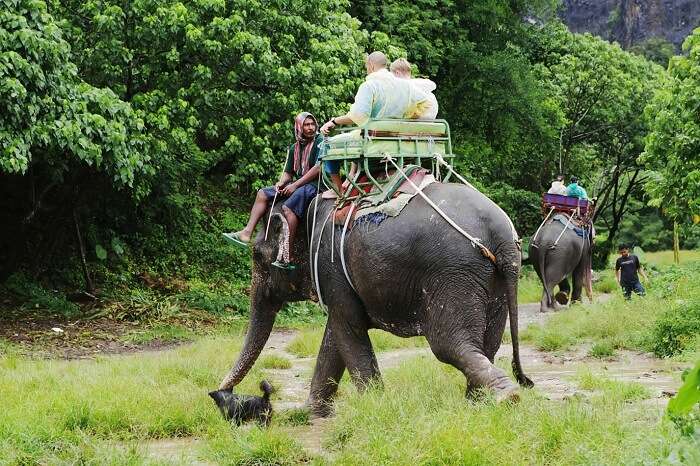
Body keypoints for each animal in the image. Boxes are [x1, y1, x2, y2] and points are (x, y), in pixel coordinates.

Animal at [221, 182, 532, 416]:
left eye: (257, 255)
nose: (225, 392)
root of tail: (503, 236)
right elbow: (336, 336)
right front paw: (309, 412)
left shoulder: (329, 264)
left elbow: (347, 328)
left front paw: (376, 405)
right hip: (493, 282)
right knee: (487, 344)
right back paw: (478, 404)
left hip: (454, 274)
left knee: (450, 345)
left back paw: (507, 397)